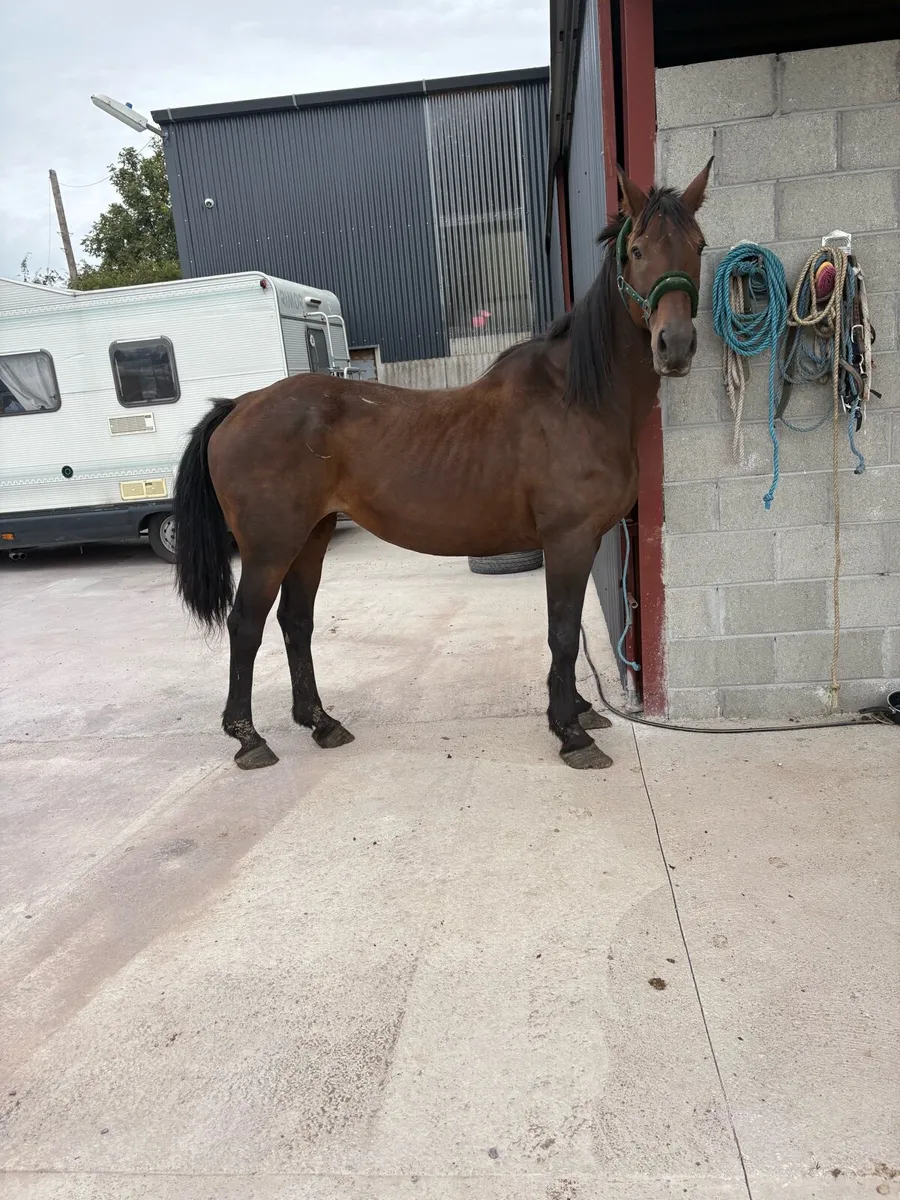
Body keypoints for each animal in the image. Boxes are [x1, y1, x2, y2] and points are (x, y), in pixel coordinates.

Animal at [173, 161, 712, 772]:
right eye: (638, 250)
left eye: (698, 245)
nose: (675, 345)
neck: (576, 398)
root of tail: (240, 404)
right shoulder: (568, 539)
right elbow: (561, 632)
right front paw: (571, 733)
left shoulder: (583, 540)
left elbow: (568, 629)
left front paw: (578, 711)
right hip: (270, 545)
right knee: (247, 625)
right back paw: (248, 738)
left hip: (312, 534)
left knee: (296, 622)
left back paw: (321, 722)